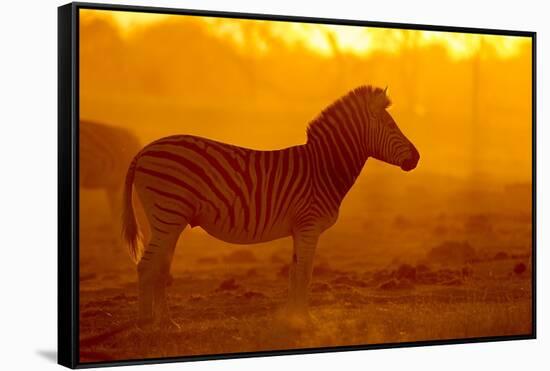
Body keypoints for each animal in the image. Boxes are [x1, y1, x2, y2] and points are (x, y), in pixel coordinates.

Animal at [123, 85, 420, 330]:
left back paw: (167, 323)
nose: (416, 158)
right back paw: (145, 322)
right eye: (390, 125)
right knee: (147, 265)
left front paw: (291, 318)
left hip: (170, 220)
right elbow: (305, 273)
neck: (322, 168)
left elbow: (294, 272)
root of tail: (144, 150)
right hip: (168, 214)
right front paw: (305, 321)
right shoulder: (309, 225)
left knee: (160, 266)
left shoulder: (300, 228)